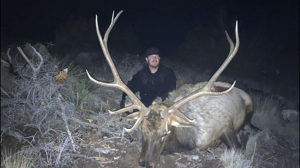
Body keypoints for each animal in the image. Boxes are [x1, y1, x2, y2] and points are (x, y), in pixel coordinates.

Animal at [86, 10, 253, 168]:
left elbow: (237, 147)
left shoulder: (225, 126)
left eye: (164, 134)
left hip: (250, 106)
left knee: (247, 131)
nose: (145, 163)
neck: (189, 136)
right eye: (142, 130)